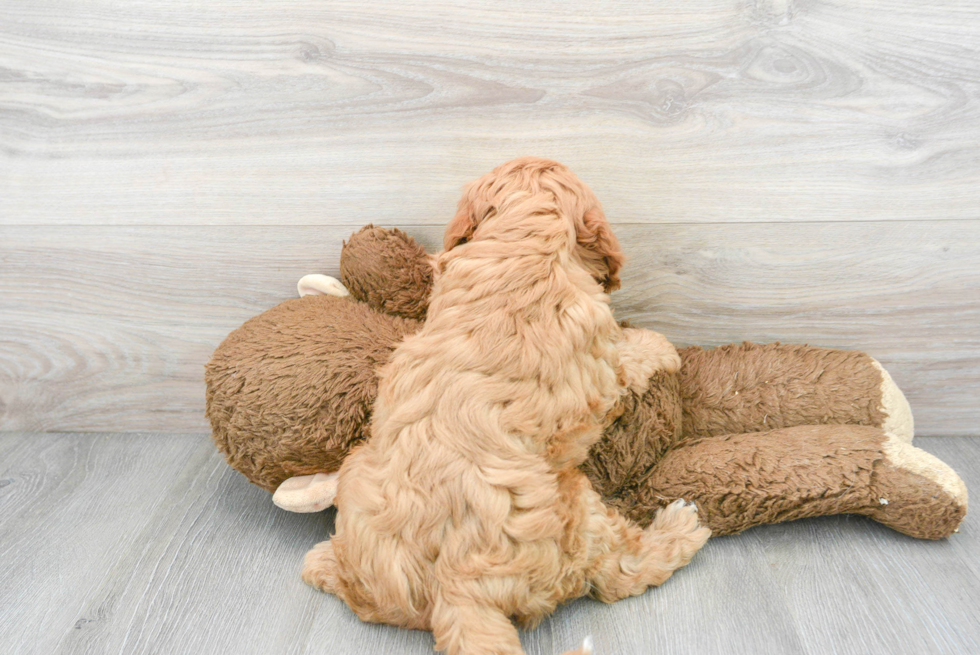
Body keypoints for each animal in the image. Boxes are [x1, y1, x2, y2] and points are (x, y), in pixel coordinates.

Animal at [302, 158, 708, 655]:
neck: (523, 243)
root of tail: (455, 588)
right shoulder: (602, 363)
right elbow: (630, 357)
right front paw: (662, 347)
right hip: (575, 508)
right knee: (619, 574)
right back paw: (680, 527)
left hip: (358, 471)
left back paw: (323, 562)